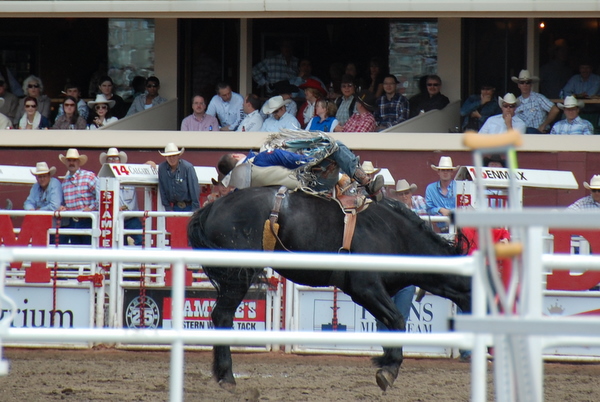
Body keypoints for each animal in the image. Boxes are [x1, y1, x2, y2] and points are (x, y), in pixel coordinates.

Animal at [189, 187, 474, 392]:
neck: (395, 236)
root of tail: (212, 206)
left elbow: (389, 323)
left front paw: (384, 361)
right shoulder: (366, 288)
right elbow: (396, 320)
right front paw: (389, 370)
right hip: (238, 275)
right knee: (222, 316)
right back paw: (227, 377)